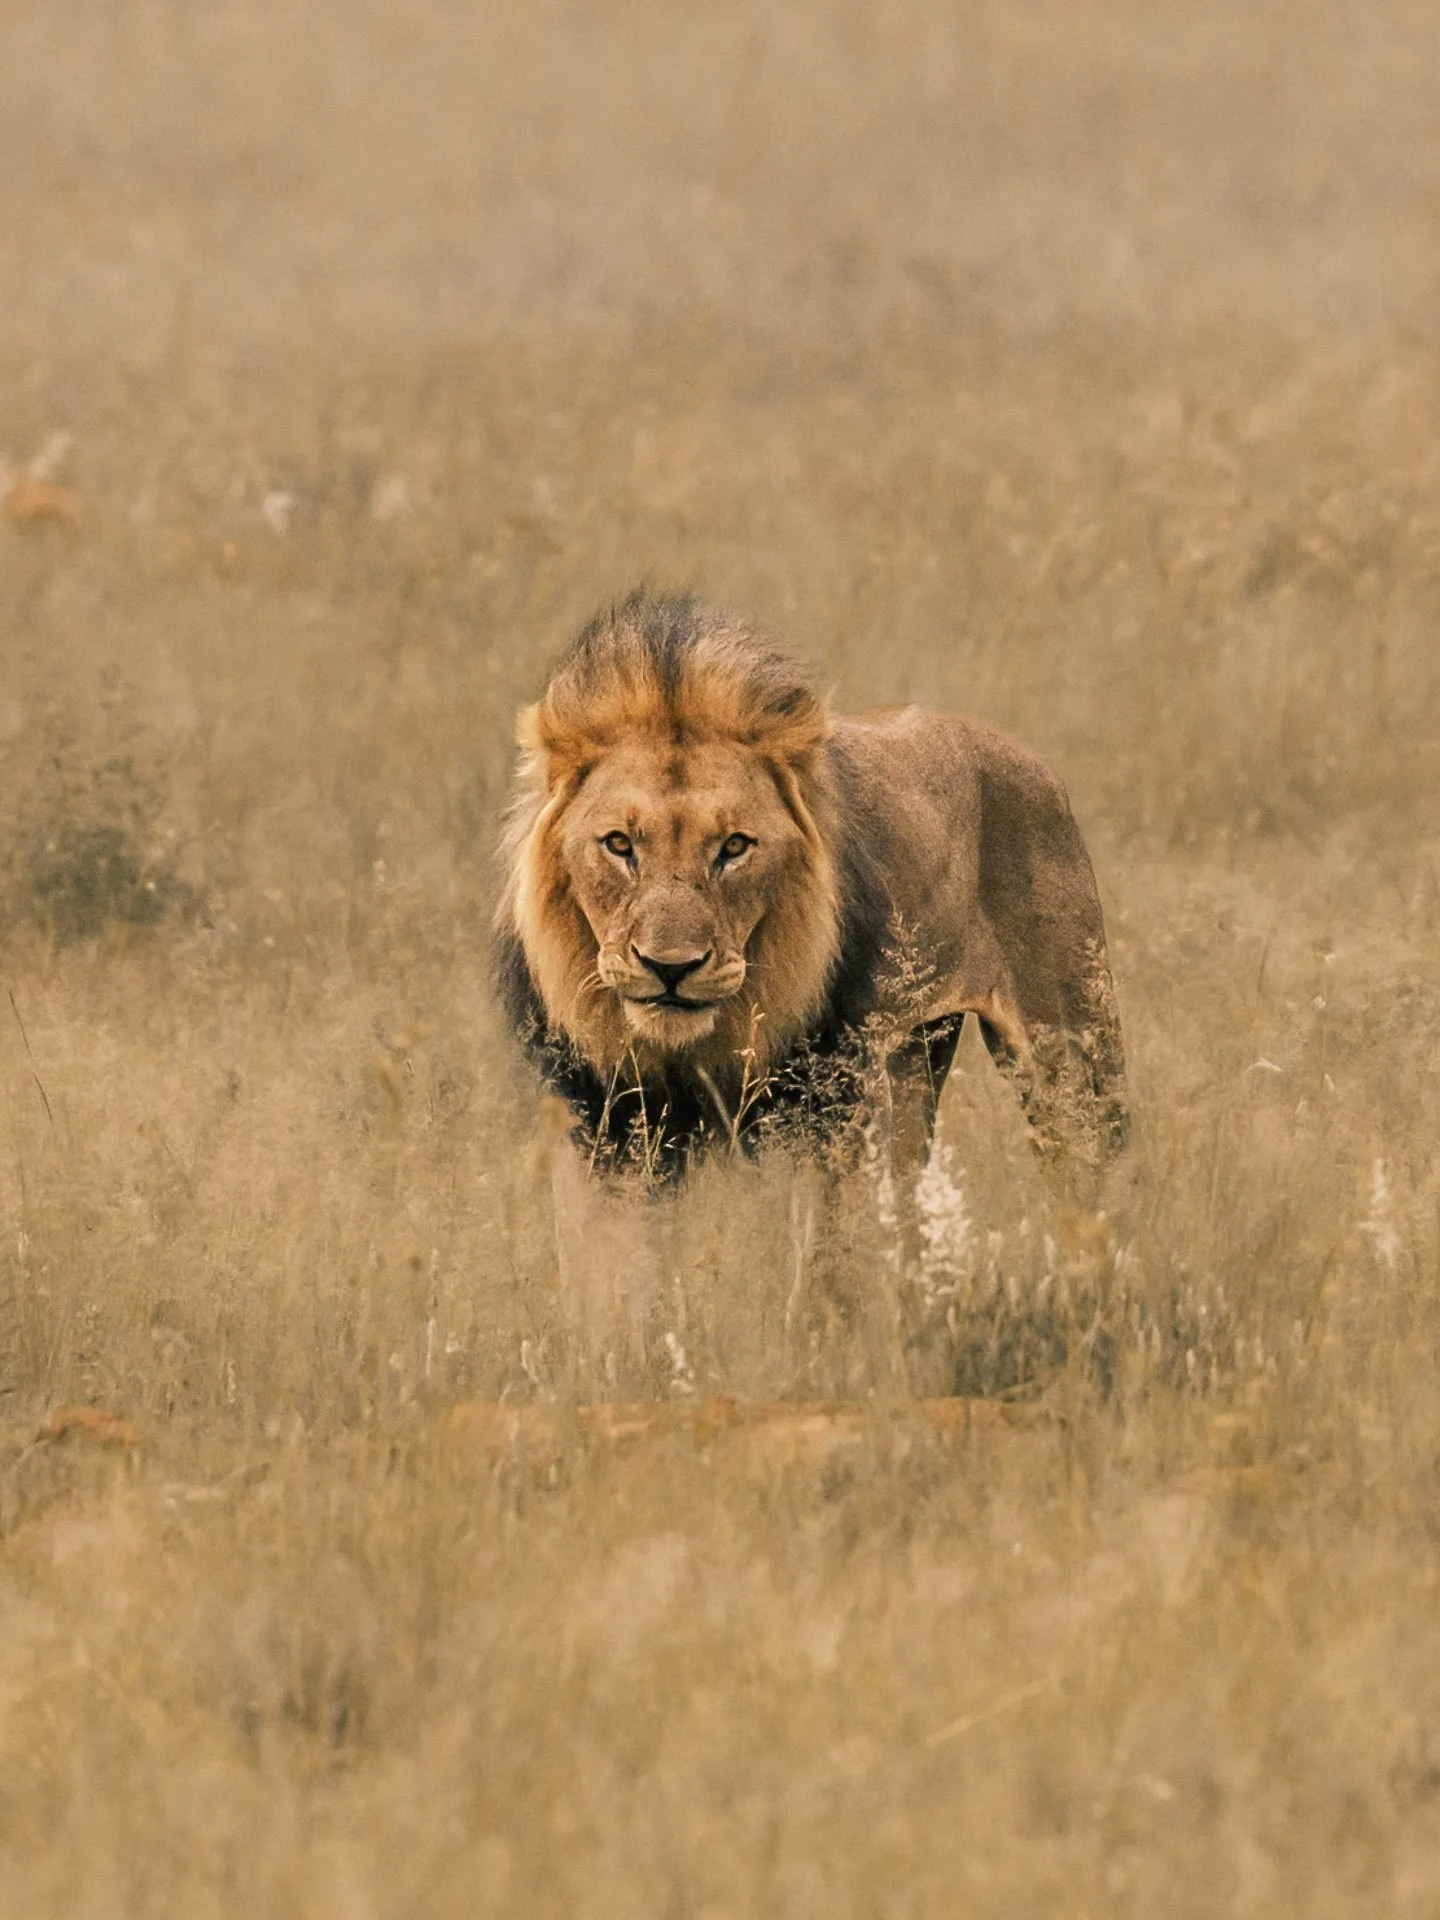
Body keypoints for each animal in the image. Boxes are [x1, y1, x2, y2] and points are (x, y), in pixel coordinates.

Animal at [494, 591, 1126, 1187]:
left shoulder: (825, 1106)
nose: (670, 968)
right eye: (620, 844)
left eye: (734, 846)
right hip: (915, 1057)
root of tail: (1037, 765)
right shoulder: (605, 1119)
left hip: (1069, 1050)